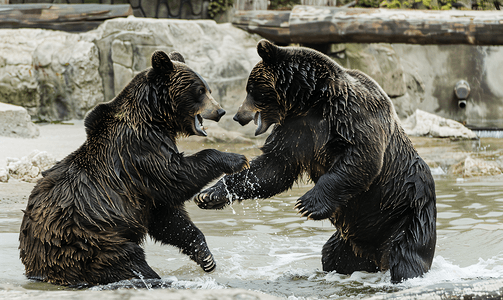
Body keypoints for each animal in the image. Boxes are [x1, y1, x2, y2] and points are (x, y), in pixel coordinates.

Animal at [18, 49, 250, 286]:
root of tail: (37, 264)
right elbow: (176, 175)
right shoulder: (139, 152)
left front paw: (206, 256)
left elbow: (168, 218)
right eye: (200, 90)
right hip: (88, 240)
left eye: (208, 88)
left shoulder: (145, 191)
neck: (153, 117)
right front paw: (236, 159)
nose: (220, 111)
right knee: (127, 259)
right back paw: (154, 278)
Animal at [196, 39, 438, 284]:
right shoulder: (296, 131)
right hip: (351, 238)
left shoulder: (352, 115)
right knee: (334, 255)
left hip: (404, 214)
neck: (312, 102)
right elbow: (273, 167)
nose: (237, 116)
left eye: (251, 90)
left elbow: (362, 156)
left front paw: (307, 204)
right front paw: (210, 194)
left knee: (405, 257)